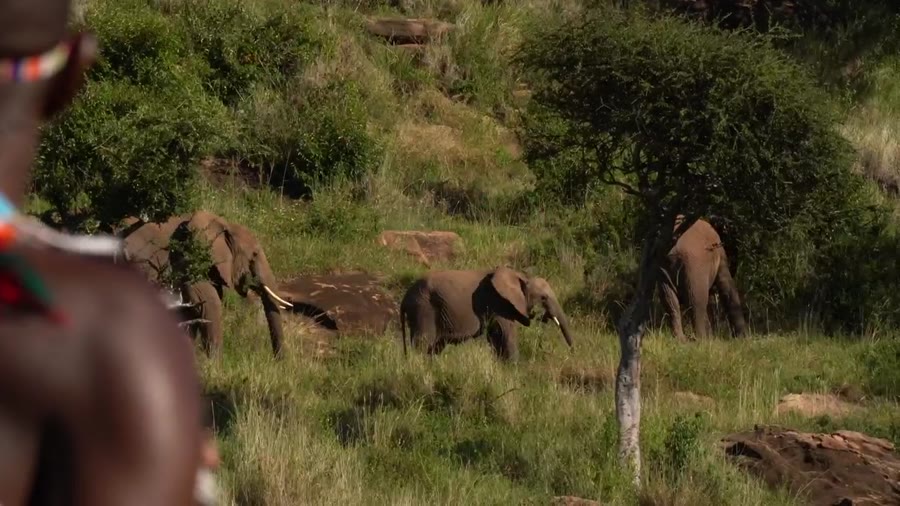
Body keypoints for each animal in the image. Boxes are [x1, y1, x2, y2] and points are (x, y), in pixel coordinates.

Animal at [119, 210, 294, 358]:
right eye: (254, 255)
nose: (278, 362)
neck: (225, 224)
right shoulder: (189, 261)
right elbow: (210, 304)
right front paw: (215, 365)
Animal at [399, 266, 574, 361]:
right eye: (543, 298)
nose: (572, 352)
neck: (521, 276)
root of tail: (404, 299)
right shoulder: (498, 303)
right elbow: (506, 334)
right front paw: (515, 368)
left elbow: (495, 337)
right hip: (423, 309)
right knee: (423, 343)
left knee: (435, 347)